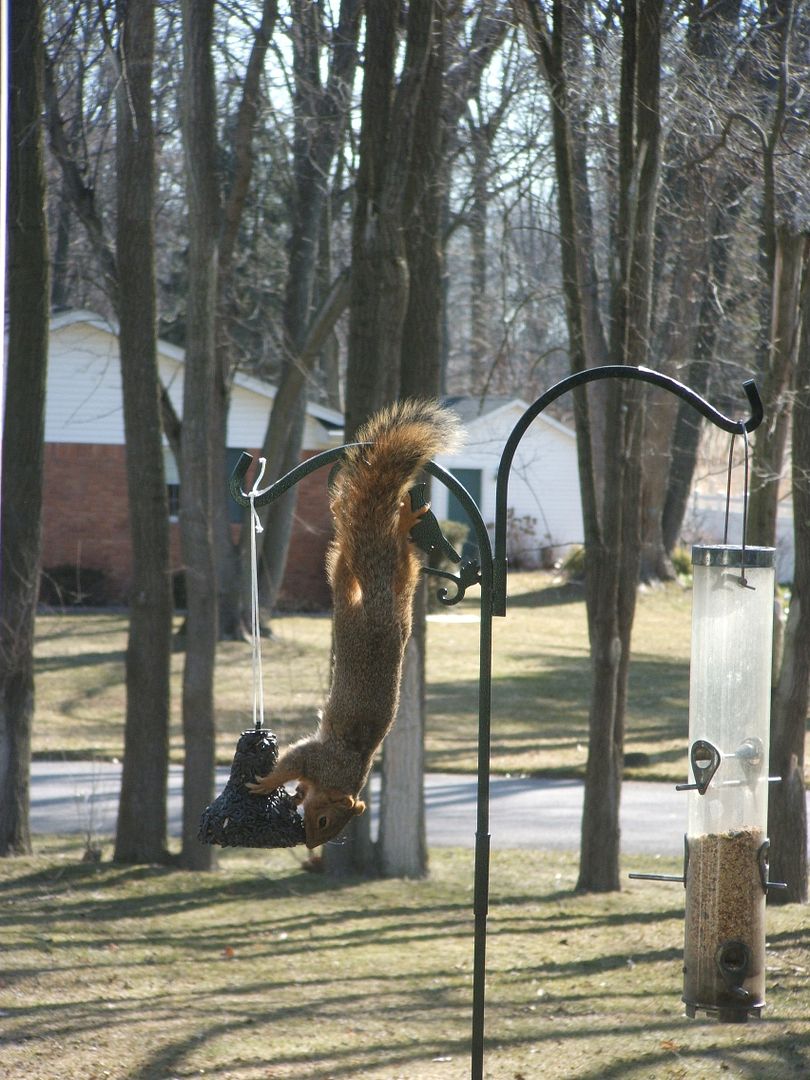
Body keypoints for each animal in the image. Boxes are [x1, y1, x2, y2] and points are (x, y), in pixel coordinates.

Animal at [247, 401, 460, 846]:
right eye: (327, 821)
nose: (311, 843)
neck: (344, 776)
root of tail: (384, 605)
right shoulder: (318, 757)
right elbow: (292, 761)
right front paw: (269, 783)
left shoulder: (318, 765)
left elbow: (298, 774)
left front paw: (290, 793)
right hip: (352, 613)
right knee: (349, 571)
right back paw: (361, 531)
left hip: (387, 598)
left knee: (390, 565)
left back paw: (397, 527)